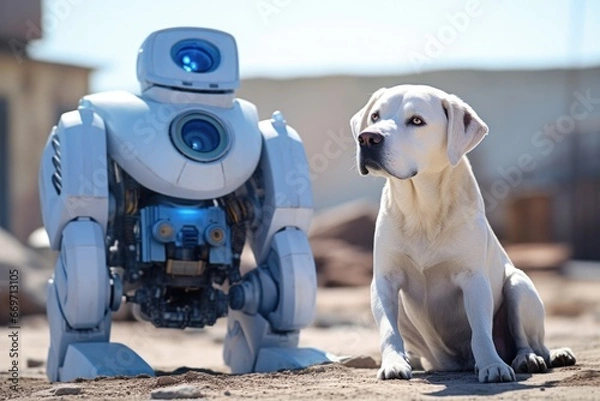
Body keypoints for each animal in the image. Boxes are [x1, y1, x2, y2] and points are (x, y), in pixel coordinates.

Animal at [352, 83, 576, 382]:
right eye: (375, 116)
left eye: (416, 121)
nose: (367, 138)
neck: (422, 209)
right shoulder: (384, 280)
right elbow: (389, 330)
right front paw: (393, 363)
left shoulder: (473, 279)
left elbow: (480, 330)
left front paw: (493, 365)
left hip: (518, 285)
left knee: (530, 341)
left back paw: (528, 358)